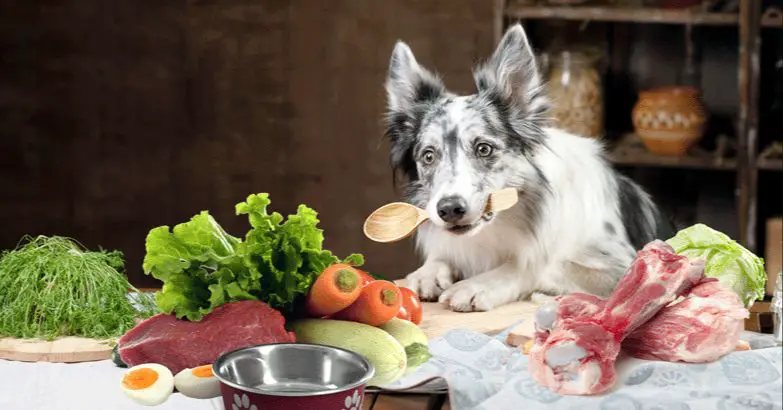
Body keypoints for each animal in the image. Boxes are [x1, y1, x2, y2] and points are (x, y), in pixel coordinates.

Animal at [382, 24, 676, 312]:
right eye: (428, 156)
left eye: (484, 149)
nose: (449, 209)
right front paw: (428, 273)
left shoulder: (624, 266)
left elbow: (536, 265)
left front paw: (478, 285)